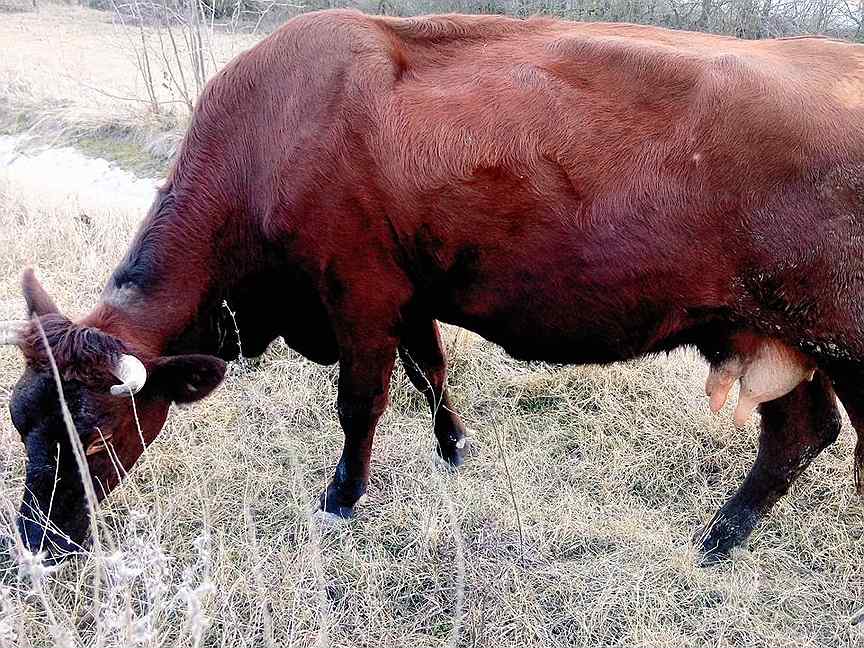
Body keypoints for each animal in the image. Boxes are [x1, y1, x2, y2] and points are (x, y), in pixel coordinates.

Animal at [1, 8, 864, 560]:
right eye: (21, 421)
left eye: (98, 434)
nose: (38, 543)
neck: (277, 130)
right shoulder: (408, 296)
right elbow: (432, 371)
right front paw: (455, 448)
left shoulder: (360, 298)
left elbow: (362, 403)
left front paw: (341, 500)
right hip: (778, 336)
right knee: (800, 433)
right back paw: (715, 542)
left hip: (841, 341)